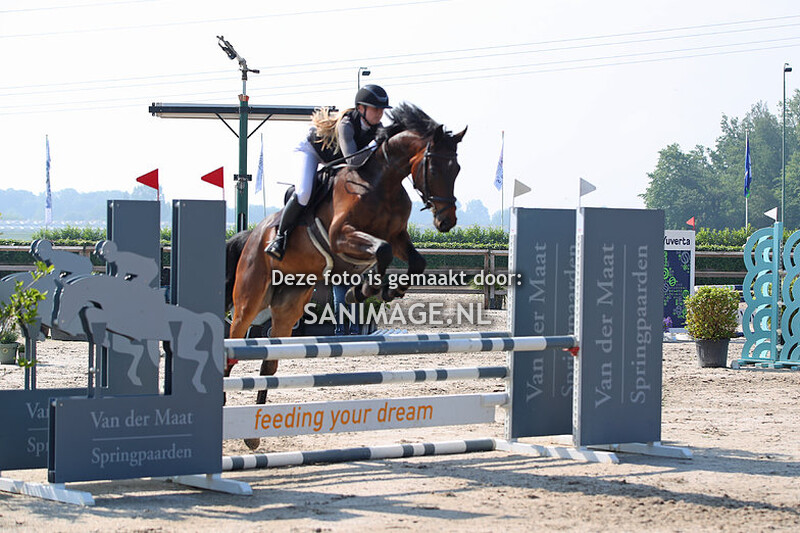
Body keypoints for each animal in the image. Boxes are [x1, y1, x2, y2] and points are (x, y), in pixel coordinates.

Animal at [226, 103, 465, 448]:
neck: (382, 181)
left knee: (269, 361)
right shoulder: (342, 235)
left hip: (288, 306)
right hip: (249, 298)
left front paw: (379, 290)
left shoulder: (396, 236)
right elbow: (381, 251)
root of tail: (253, 235)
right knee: (231, 349)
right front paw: (367, 289)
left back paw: (252, 436)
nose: (446, 222)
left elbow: (414, 260)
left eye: (456, 169)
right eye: (434, 168)